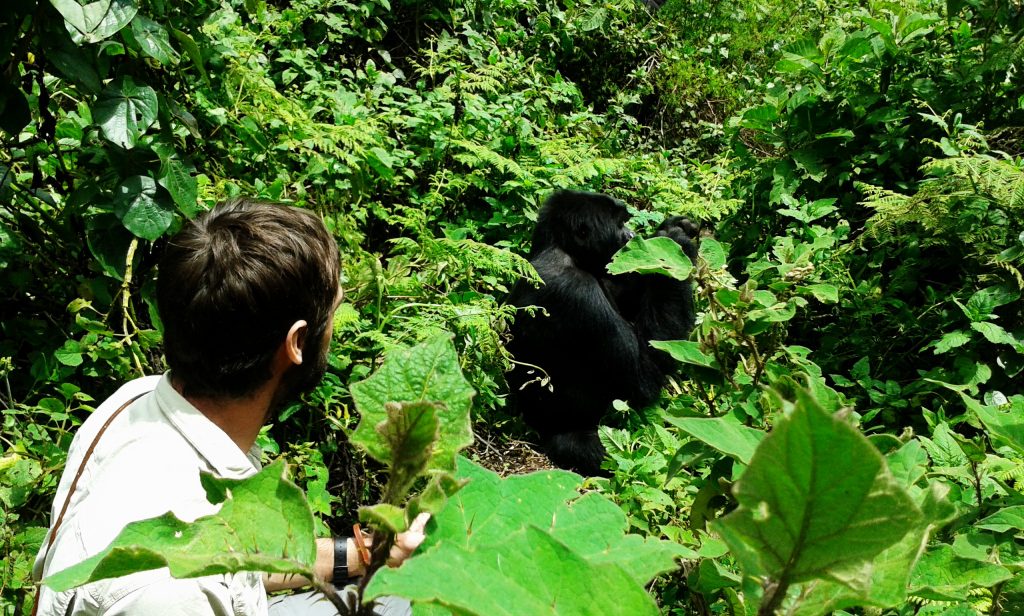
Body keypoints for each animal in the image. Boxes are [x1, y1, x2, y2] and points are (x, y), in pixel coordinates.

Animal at [503, 189, 696, 472]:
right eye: (618, 224)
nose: (631, 236)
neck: (564, 250)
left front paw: (671, 229)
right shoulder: (578, 293)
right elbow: (644, 378)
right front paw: (676, 243)